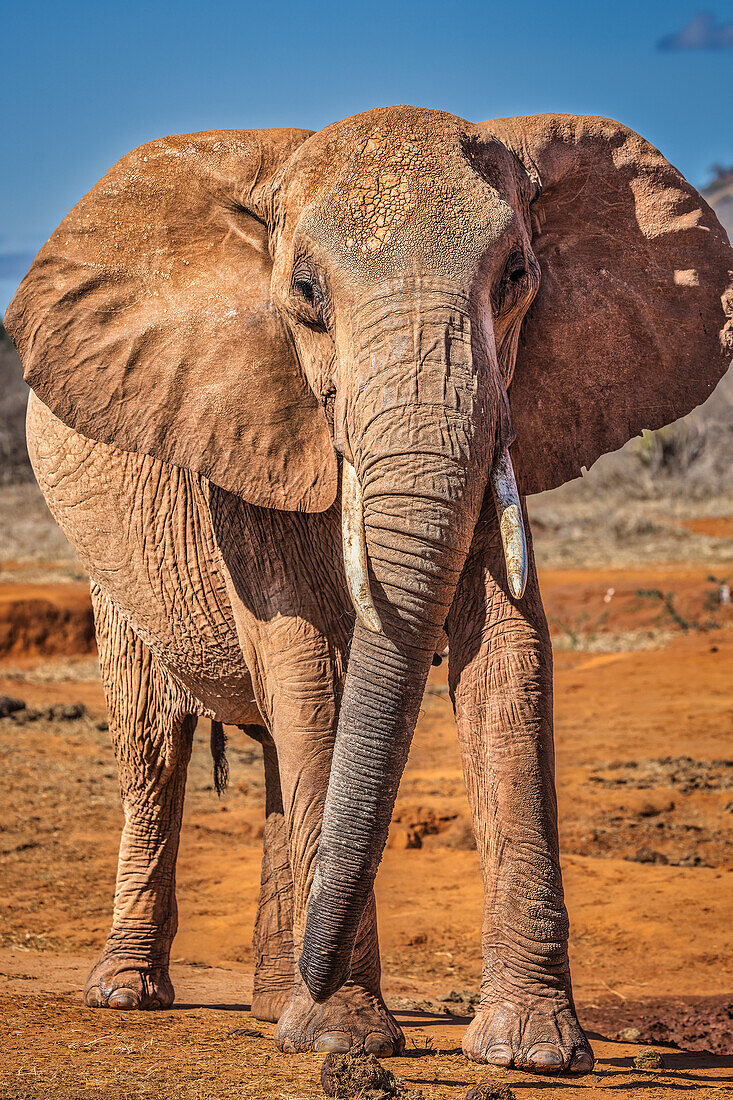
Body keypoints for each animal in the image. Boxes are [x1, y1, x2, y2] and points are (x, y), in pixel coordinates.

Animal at [5, 105, 730, 1073]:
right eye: (306, 292)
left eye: (516, 277)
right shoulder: (241, 432)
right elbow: (309, 658)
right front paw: (342, 1036)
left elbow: (508, 662)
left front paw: (530, 1053)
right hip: (105, 566)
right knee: (154, 741)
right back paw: (132, 994)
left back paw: (271, 1002)